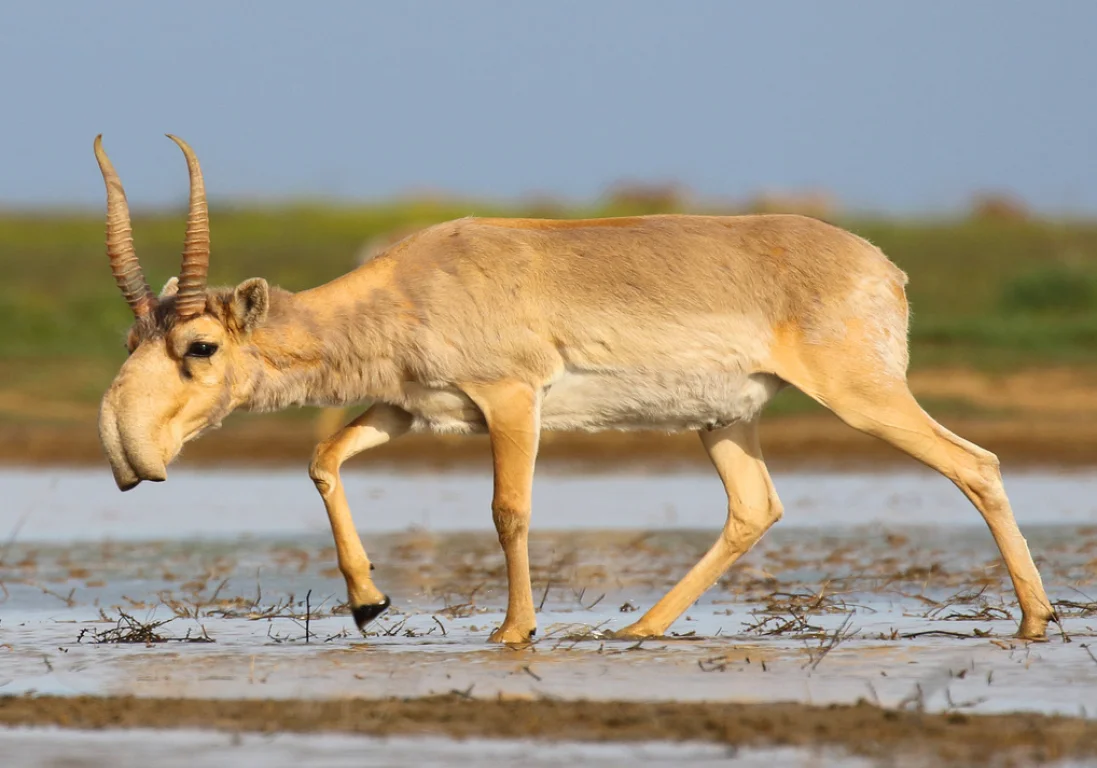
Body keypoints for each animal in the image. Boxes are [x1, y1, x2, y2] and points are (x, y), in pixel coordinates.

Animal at [98, 136, 1057, 640]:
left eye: (199, 345)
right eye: (132, 338)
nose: (124, 451)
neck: (411, 281)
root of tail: (882, 267)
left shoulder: (511, 401)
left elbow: (508, 510)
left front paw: (512, 630)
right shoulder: (412, 409)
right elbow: (323, 457)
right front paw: (369, 602)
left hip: (862, 396)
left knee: (974, 463)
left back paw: (1036, 618)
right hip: (722, 420)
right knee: (755, 506)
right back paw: (638, 629)